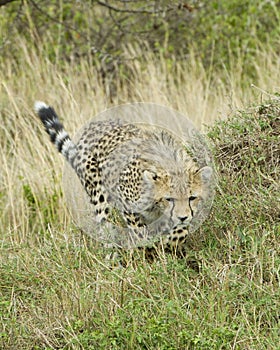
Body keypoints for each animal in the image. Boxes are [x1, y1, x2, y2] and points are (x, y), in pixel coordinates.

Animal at [35, 102, 214, 250]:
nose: (182, 217)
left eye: (192, 197)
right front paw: (151, 250)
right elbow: (141, 232)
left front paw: (171, 243)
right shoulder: (127, 205)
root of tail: (95, 125)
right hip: (100, 198)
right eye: (169, 199)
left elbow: (179, 230)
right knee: (105, 228)